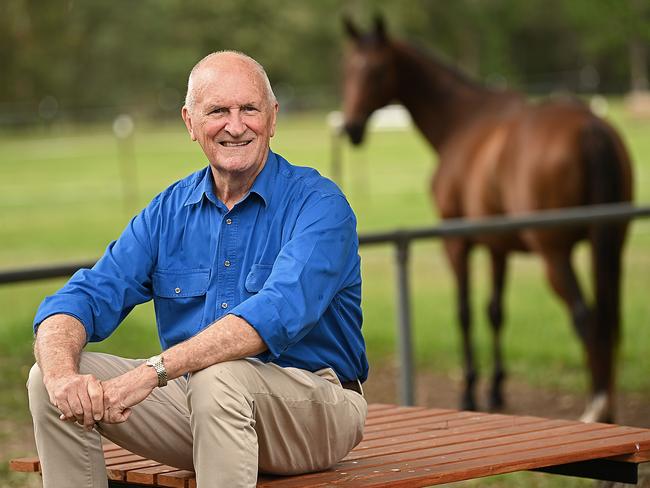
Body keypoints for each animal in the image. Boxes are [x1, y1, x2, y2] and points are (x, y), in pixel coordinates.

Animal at [342, 16, 632, 420]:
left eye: (378, 70)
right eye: (348, 68)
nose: (351, 128)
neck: (463, 122)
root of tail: (591, 128)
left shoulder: (456, 242)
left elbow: (464, 312)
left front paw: (469, 391)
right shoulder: (499, 247)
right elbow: (496, 311)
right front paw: (495, 389)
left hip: (555, 255)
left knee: (587, 320)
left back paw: (595, 408)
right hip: (611, 246)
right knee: (611, 321)